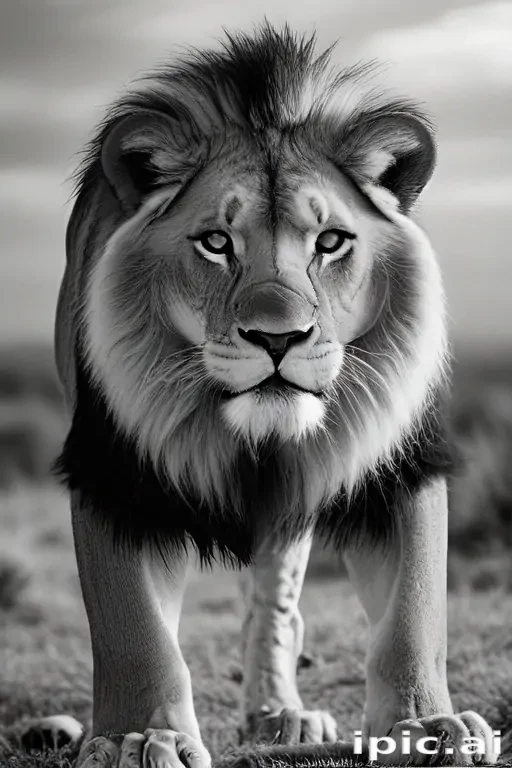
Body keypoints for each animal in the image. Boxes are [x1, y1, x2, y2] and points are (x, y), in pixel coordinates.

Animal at [42, 22, 496, 767]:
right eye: (215, 242)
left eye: (332, 241)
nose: (278, 337)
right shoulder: (113, 470)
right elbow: (132, 628)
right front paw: (139, 735)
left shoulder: (401, 461)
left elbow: (414, 611)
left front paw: (426, 725)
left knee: (273, 605)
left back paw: (280, 716)